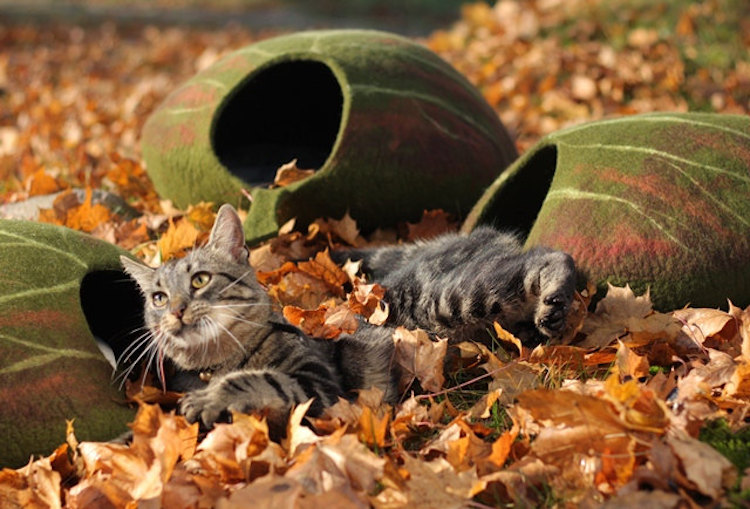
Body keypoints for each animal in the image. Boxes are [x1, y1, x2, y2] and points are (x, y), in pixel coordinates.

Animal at [120, 204, 580, 430]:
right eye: (158, 298)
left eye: (199, 280)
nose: (175, 310)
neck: (218, 360)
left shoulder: (320, 384)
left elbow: (259, 379)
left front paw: (212, 397)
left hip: (452, 296)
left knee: (547, 256)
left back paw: (554, 300)